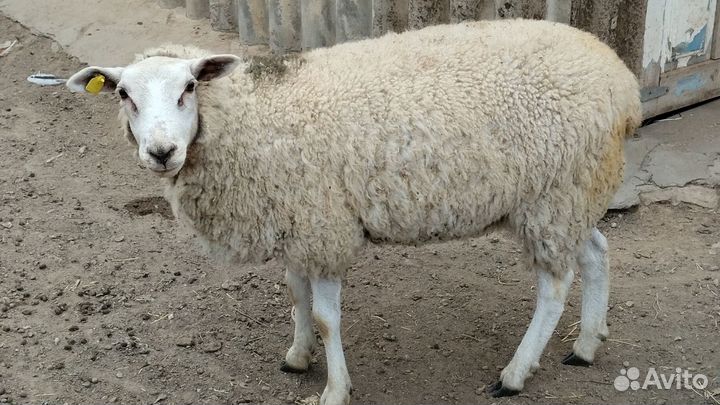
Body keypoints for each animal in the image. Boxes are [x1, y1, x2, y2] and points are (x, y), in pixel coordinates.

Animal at [66, 18, 641, 405]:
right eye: (123, 95)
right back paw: (587, 344)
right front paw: (297, 357)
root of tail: (623, 81)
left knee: (554, 286)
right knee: (597, 252)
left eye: (189, 88)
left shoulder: (323, 225)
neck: (254, 113)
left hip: (554, 194)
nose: (161, 152)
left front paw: (334, 388)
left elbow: (325, 318)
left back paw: (515, 373)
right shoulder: (297, 222)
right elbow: (296, 297)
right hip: (570, 194)